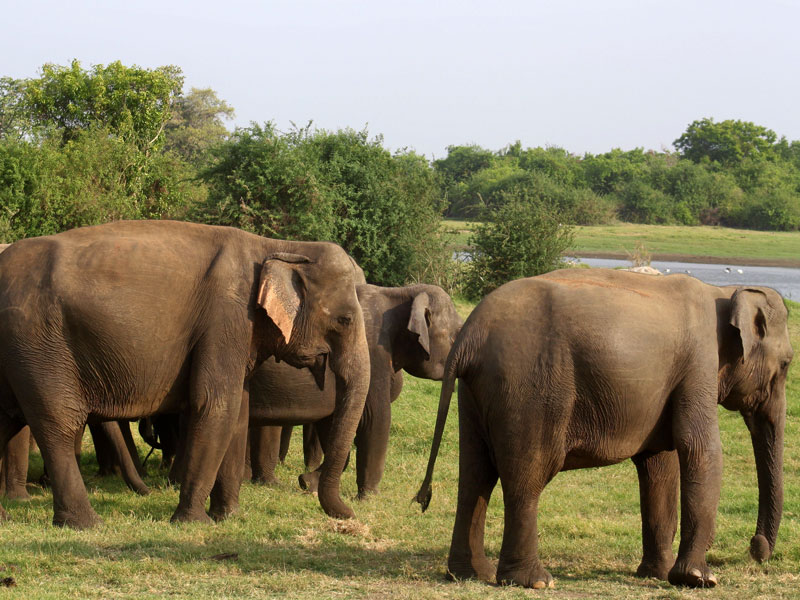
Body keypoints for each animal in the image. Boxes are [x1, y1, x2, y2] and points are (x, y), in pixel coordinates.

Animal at [0, 218, 368, 528]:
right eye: (345, 320)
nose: (349, 514)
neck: (276, 245)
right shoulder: (226, 317)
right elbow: (216, 406)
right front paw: (193, 521)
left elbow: (238, 412)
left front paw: (228, 517)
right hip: (38, 341)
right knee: (58, 421)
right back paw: (85, 523)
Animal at [248, 284, 462, 500]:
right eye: (455, 336)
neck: (398, 293)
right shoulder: (373, 354)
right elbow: (375, 419)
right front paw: (369, 497)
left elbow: (333, 424)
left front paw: (308, 482)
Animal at [416, 270, 792, 588]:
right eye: (787, 364)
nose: (756, 549)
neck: (725, 291)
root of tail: (470, 335)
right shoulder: (699, 363)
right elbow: (700, 449)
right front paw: (699, 579)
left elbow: (659, 464)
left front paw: (656, 575)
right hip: (528, 389)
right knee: (527, 476)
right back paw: (534, 581)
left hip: (475, 392)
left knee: (475, 475)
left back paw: (469, 574)